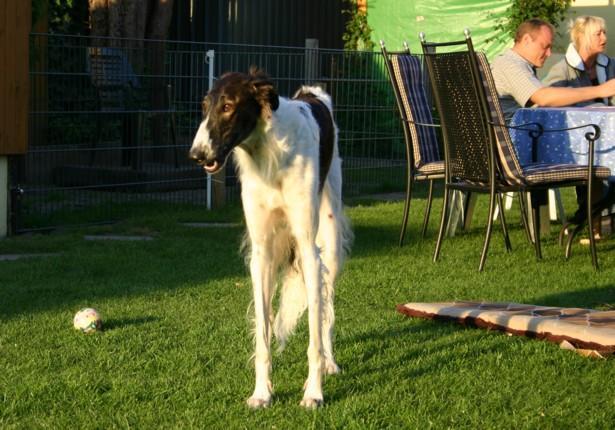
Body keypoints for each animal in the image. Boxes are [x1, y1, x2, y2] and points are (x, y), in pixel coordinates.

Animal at [189, 68, 352, 408]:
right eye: (205, 106)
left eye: (228, 106)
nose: (196, 155)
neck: (269, 154)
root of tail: (311, 93)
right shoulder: (261, 253)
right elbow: (263, 334)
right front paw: (262, 393)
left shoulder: (308, 250)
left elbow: (314, 336)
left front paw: (313, 393)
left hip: (328, 244)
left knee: (326, 312)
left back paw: (330, 363)